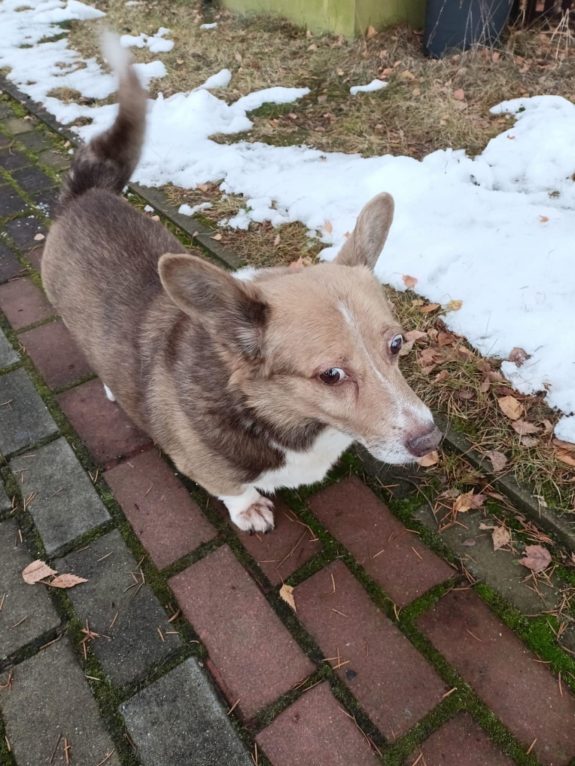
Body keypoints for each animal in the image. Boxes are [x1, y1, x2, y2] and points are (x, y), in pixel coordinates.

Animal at [42, 38, 441, 533]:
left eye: (397, 344)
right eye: (330, 375)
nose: (430, 441)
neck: (274, 414)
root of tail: (86, 193)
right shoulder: (203, 466)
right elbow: (231, 487)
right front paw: (249, 510)